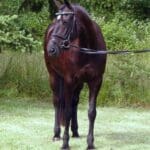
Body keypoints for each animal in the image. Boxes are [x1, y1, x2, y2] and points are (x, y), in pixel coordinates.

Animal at [44, 0, 107, 149]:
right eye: (56, 20)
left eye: (65, 21)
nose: (51, 49)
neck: (89, 49)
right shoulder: (69, 81)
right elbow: (66, 112)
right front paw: (65, 143)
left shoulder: (96, 81)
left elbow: (91, 112)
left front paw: (90, 143)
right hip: (54, 76)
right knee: (57, 102)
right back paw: (56, 134)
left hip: (79, 84)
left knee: (74, 102)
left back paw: (75, 131)